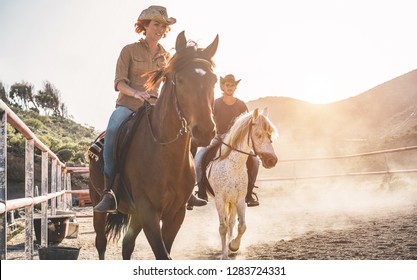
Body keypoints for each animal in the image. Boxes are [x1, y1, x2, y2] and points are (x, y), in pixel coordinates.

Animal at [88, 31, 218, 260]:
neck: (163, 152)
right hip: (98, 204)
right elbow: (162, 254)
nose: (205, 130)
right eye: (181, 80)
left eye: (214, 80)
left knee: (127, 245)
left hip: (135, 215)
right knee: (101, 242)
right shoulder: (148, 212)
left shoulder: (176, 213)